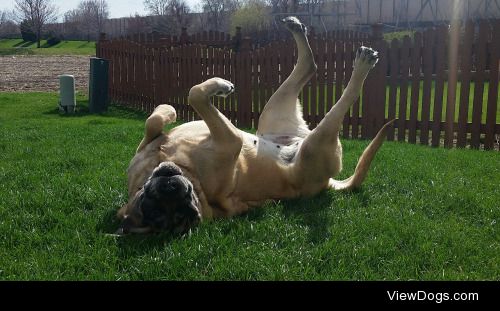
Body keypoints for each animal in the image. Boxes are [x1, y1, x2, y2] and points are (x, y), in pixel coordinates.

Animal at [115, 17, 392, 235]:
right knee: (341, 93)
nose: (173, 187)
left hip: (273, 111)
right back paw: (363, 63)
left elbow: (157, 119)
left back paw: (297, 27)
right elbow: (194, 94)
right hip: (315, 142)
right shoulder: (231, 140)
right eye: (184, 212)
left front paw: (169, 110)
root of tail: (326, 184)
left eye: (148, 198)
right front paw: (218, 86)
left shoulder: (145, 149)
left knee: (309, 65)